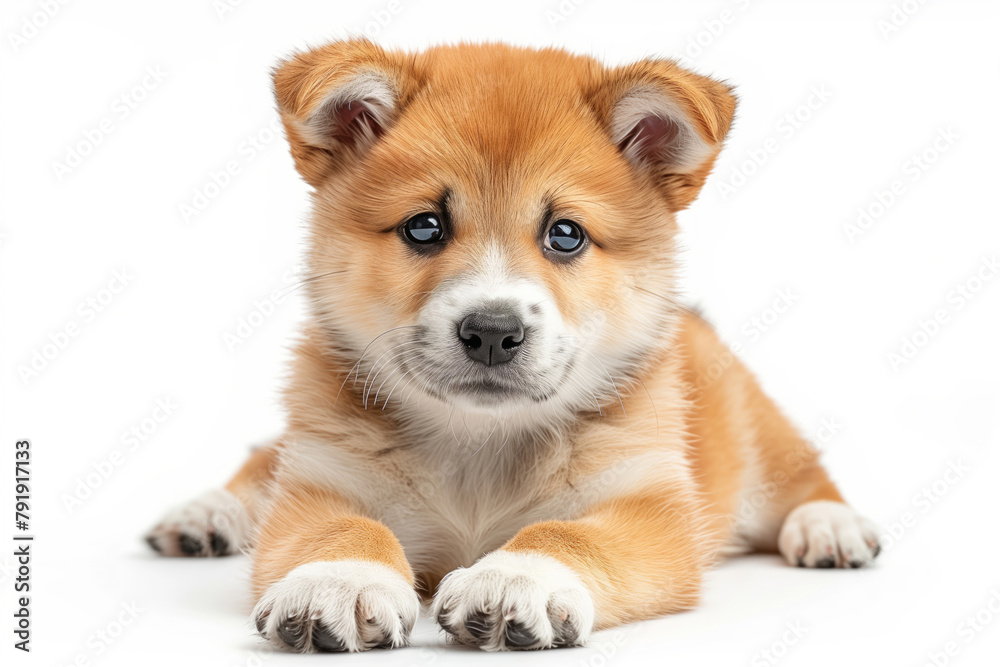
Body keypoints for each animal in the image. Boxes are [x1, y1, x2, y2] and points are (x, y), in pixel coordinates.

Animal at [145, 40, 880, 652]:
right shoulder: (322, 478)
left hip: (758, 434)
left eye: (566, 235)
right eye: (424, 226)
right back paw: (205, 513)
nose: (493, 331)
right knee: (262, 459)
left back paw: (829, 526)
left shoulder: (651, 507)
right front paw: (339, 580)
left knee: (802, 475)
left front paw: (515, 579)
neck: (479, 448)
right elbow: (341, 527)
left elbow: (566, 533)